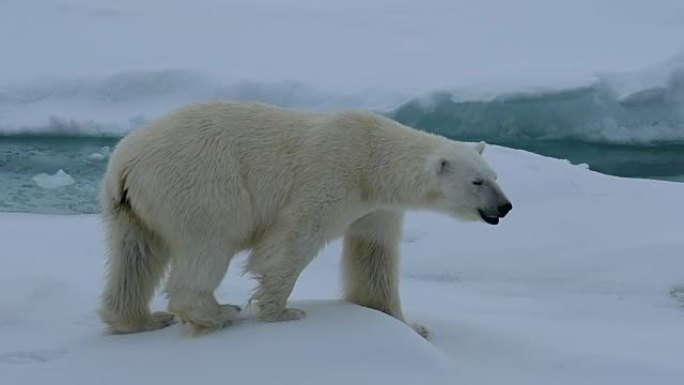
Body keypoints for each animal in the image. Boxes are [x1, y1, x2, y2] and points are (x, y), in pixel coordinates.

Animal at [97, 100, 512, 338]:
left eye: (495, 175)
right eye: (477, 181)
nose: (505, 206)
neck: (374, 160)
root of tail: (125, 162)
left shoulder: (377, 207)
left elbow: (374, 257)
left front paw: (412, 325)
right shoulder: (332, 175)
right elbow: (293, 241)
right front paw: (282, 311)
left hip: (129, 207)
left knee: (135, 256)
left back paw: (140, 319)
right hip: (199, 184)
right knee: (207, 244)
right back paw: (218, 314)